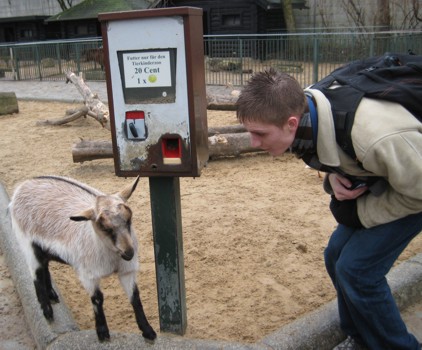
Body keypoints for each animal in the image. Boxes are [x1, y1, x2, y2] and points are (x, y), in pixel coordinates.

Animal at [9, 175, 156, 342]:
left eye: (129, 220)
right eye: (105, 228)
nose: (129, 253)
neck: (111, 257)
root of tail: (24, 184)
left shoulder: (126, 271)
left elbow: (135, 296)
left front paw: (148, 331)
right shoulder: (89, 275)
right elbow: (97, 299)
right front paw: (102, 332)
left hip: (43, 249)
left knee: (44, 266)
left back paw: (52, 294)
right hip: (27, 244)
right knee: (36, 274)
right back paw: (47, 311)